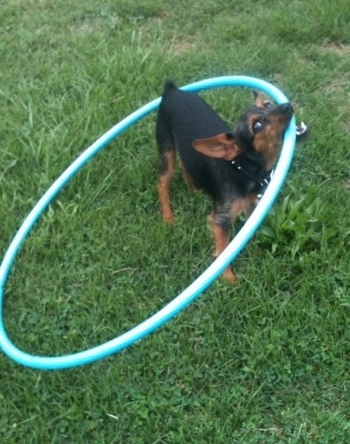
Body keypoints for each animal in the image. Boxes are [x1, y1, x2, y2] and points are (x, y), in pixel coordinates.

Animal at [156, 80, 296, 284]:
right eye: (257, 126)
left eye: (268, 105)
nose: (287, 105)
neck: (241, 167)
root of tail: (172, 90)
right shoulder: (220, 220)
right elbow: (223, 249)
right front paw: (228, 277)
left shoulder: (252, 205)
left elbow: (249, 229)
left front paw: (252, 247)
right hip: (165, 147)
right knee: (162, 183)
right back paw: (168, 216)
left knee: (185, 163)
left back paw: (194, 189)